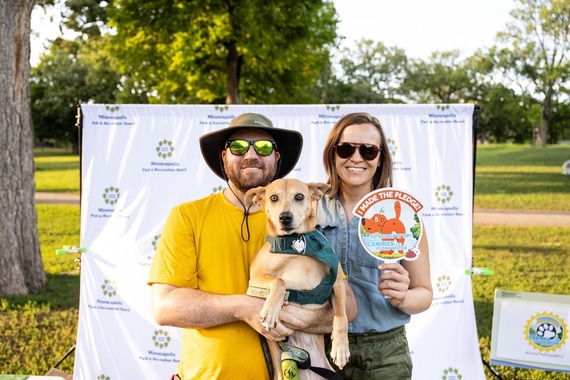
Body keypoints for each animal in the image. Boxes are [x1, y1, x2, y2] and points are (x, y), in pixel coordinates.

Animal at [245, 180, 348, 378]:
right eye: (273, 198)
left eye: (299, 196)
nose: (285, 217)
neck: (296, 244)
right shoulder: (254, 279)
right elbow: (280, 281)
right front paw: (271, 311)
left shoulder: (337, 282)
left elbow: (341, 316)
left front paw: (340, 347)